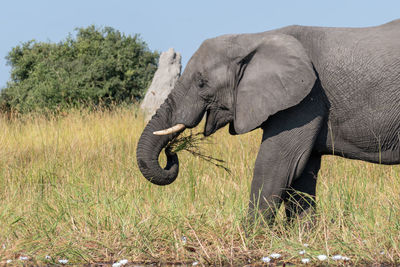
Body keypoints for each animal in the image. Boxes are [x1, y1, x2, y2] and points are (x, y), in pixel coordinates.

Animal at [136, 19, 400, 224]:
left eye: (202, 83)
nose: (171, 152)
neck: (254, 38)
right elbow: (302, 171)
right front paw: (303, 239)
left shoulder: (306, 99)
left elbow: (277, 164)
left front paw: (251, 237)